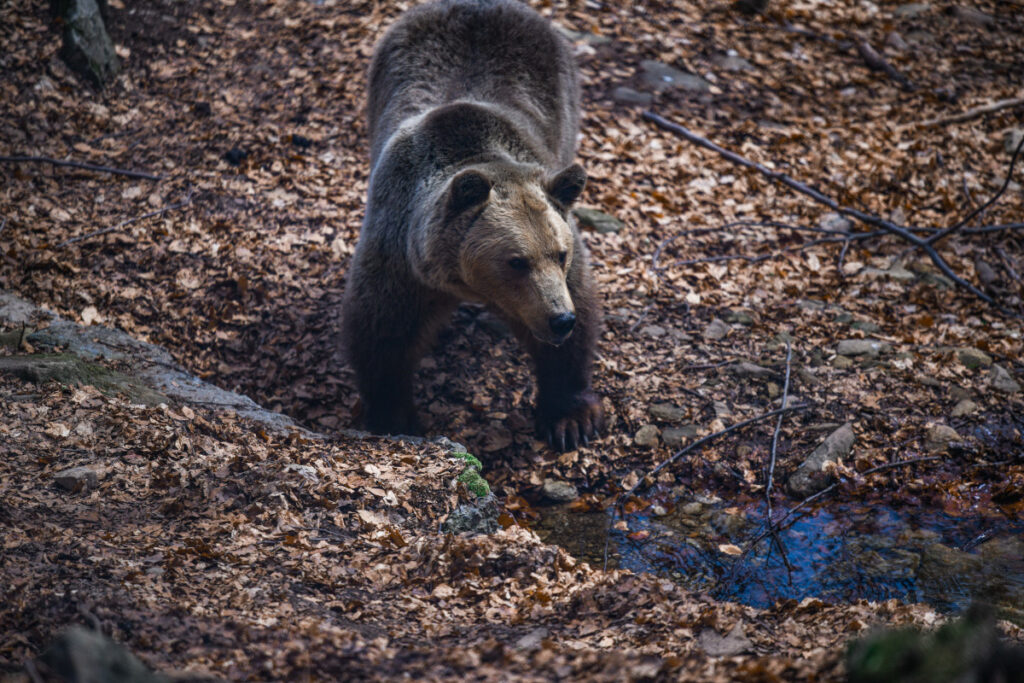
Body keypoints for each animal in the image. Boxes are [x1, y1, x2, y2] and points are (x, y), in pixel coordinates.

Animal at [339, 0, 602, 450]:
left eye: (560, 254)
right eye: (517, 261)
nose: (559, 319)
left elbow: (578, 319)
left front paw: (570, 419)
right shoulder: (400, 255)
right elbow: (382, 331)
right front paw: (393, 416)